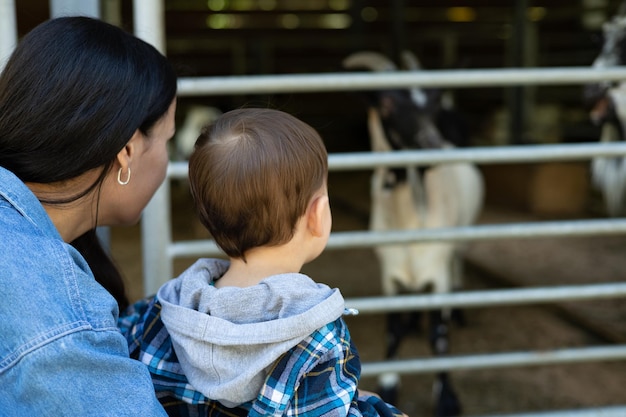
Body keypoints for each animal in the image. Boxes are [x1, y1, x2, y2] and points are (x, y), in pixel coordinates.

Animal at [342, 50, 482, 414]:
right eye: (387, 103)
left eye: (431, 105)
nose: (430, 144)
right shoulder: (389, 274)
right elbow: (391, 330)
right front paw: (390, 384)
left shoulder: (438, 275)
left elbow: (439, 335)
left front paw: (446, 398)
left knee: (460, 262)